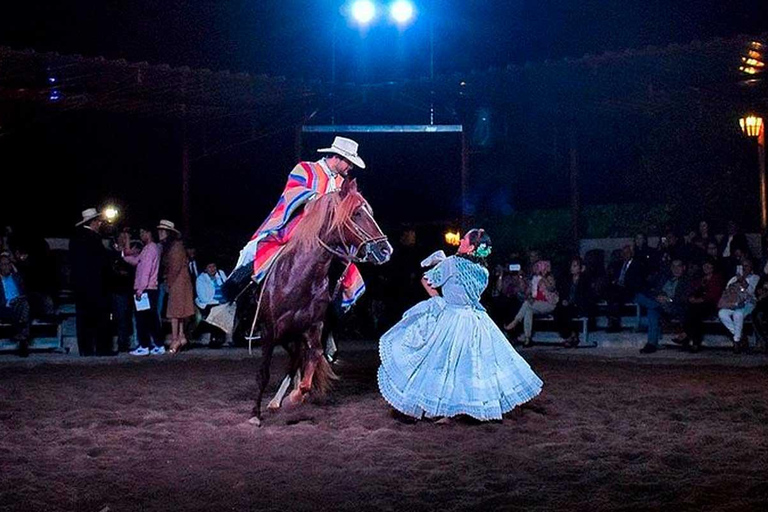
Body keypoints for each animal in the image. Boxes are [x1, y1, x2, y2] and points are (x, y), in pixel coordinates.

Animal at [250, 178, 392, 426]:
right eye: (356, 213)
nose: (385, 250)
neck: (298, 278)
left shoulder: (313, 327)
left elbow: (314, 357)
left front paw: (295, 397)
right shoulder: (269, 330)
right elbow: (263, 373)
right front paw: (255, 415)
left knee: (297, 360)